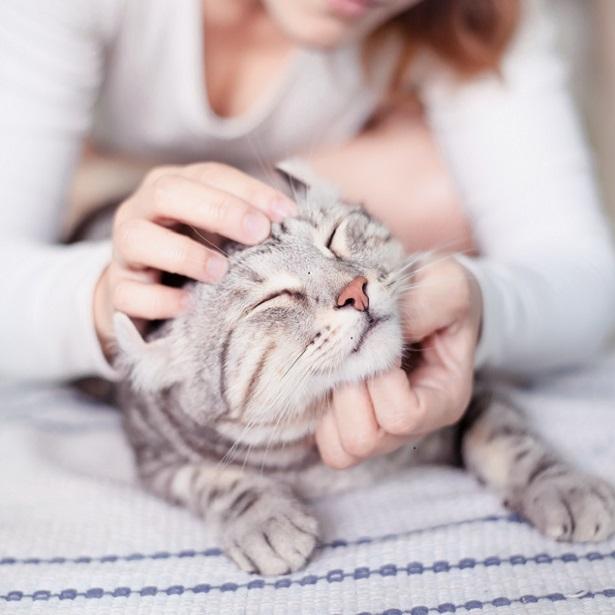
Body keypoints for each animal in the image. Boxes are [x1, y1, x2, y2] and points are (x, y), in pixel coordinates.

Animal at [112, 170, 615, 576]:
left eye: (334, 238)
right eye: (272, 299)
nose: (354, 291)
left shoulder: (476, 393)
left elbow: (508, 439)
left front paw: (563, 486)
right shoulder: (156, 460)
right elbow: (213, 481)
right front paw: (264, 520)